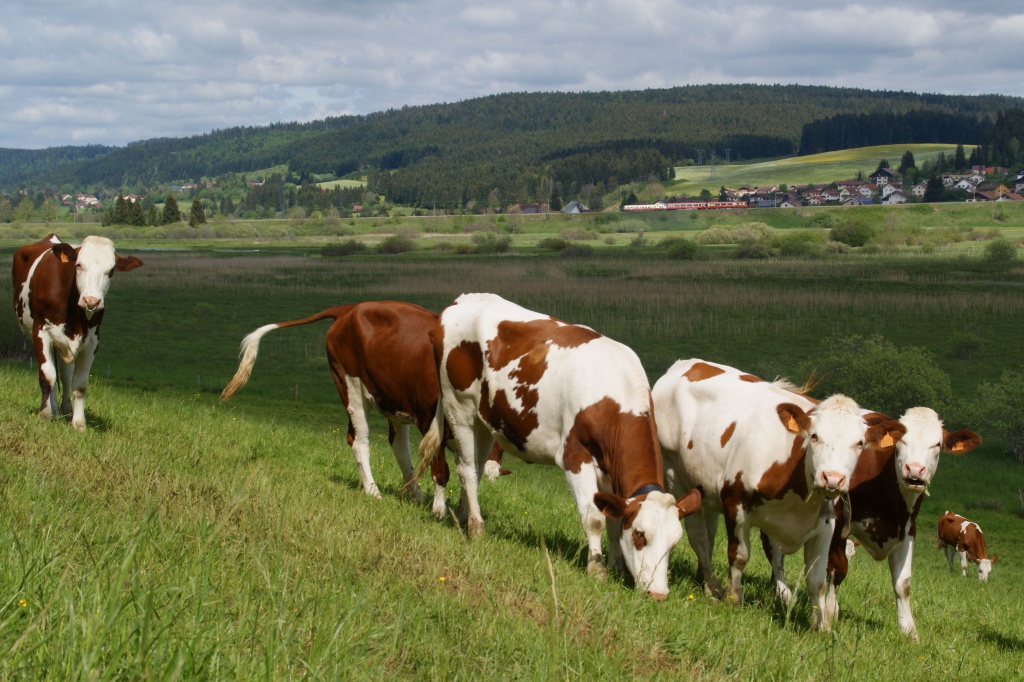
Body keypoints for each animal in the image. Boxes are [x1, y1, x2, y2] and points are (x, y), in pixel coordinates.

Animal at [11, 231, 144, 428]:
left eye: (111, 271)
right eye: (78, 265)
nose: (91, 301)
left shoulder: (92, 341)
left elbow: (79, 384)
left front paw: (79, 423)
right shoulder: (41, 331)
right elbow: (47, 376)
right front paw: (45, 414)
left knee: (65, 374)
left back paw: (65, 409)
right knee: (52, 373)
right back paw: (53, 410)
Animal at [417, 292, 704, 593]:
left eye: (673, 544)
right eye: (640, 535)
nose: (658, 593)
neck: (613, 395)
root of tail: (462, 301)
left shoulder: (608, 466)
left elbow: (613, 517)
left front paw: (616, 568)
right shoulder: (575, 456)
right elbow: (594, 519)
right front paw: (597, 570)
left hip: (485, 421)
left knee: (472, 465)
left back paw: (463, 517)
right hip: (459, 409)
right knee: (468, 471)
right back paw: (476, 528)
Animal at [651, 358, 901, 630]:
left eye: (859, 443)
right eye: (814, 436)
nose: (833, 478)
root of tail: (687, 363)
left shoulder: (826, 525)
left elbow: (816, 580)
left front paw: (820, 625)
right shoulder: (735, 503)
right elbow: (739, 556)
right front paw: (734, 600)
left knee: (708, 531)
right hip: (676, 475)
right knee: (699, 537)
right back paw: (712, 586)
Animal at [765, 409, 978, 638]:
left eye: (937, 444)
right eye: (901, 440)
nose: (914, 470)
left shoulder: (907, 530)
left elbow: (903, 584)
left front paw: (909, 630)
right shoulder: (839, 520)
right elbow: (838, 568)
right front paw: (831, 611)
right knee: (774, 552)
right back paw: (783, 592)